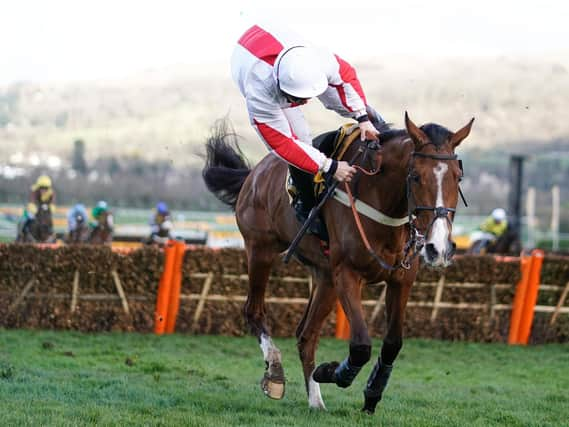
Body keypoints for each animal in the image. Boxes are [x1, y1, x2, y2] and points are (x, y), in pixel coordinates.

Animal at [202, 113, 472, 414]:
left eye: (457, 177)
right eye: (415, 176)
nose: (439, 248)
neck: (381, 202)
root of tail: (254, 174)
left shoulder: (401, 279)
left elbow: (392, 343)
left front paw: (372, 393)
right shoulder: (347, 274)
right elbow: (361, 344)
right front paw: (333, 372)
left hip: (324, 277)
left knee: (306, 335)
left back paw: (316, 401)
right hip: (260, 250)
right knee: (254, 311)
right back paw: (275, 374)